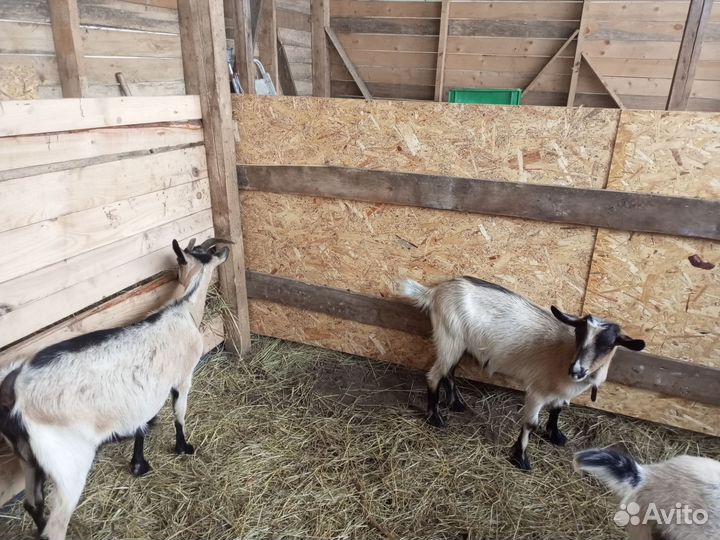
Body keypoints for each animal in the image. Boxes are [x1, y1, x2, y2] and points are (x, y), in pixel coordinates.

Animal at [0, 237, 229, 540]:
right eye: (207, 252)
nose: (225, 250)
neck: (184, 309)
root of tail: (15, 395)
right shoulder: (183, 376)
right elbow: (179, 414)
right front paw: (184, 447)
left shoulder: (144, 395)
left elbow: (143, 425)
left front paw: (139, 464)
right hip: (67, 461)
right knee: (55, 525)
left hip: (27, 458)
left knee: (32, 504)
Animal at [398, 276, 645, 471]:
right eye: (579, 334)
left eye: (608, 344)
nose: (576, 369)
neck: (565, 354)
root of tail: (435, 291)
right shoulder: (537, 390)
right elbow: (530, 424)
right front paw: (520, 458)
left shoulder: (561, 392)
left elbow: (558, 408)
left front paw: (556, 435)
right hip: (450, 338)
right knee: (435, 375)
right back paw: (436, 418)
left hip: (460, 344)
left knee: (449, 371)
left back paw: (456, 404)